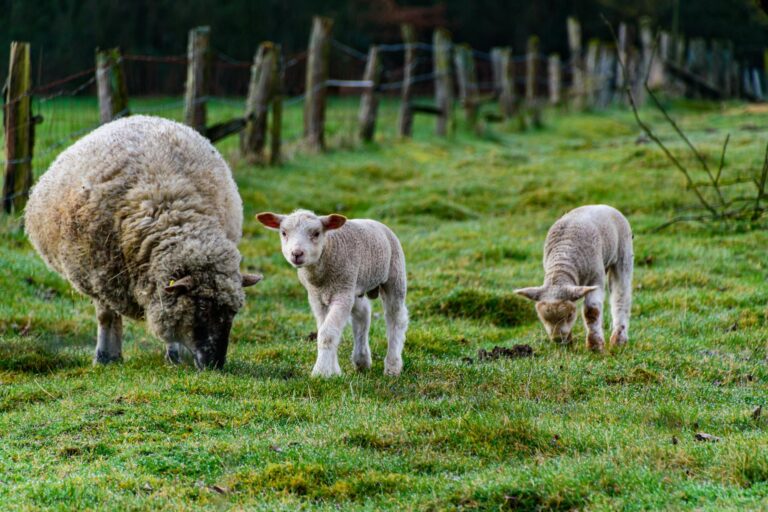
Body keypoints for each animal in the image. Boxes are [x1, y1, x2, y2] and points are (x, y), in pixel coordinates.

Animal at [25, 115, 262, 369]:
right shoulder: (99, 278)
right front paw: (105, 357)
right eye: (200, 308)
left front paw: (175, 355)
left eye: (233, 312)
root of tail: (135, 118)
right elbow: (106, 317)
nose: (215, 364)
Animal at [256, 210, 408, 377]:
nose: (296, 254)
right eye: (283, 233)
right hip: (355, 286)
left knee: (396, 318)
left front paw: (320, 372)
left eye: (316, 233)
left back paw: (392, 366)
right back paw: (362, 360)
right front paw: (334, 371)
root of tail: (376, 222)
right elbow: (325, 329)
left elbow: (327, 333)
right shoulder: (317, 298)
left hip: (394, 275)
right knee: (362, 316)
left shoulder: (341, 295)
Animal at [514, 205, 633, 351]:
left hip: (623, 253)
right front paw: (568, 344)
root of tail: (603, 205)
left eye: (570, 315)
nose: (558, 339)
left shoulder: (595, 276)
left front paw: (595, 347)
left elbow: (591, 312)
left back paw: (619, 340)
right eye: (542, 318)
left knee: (621, 295)